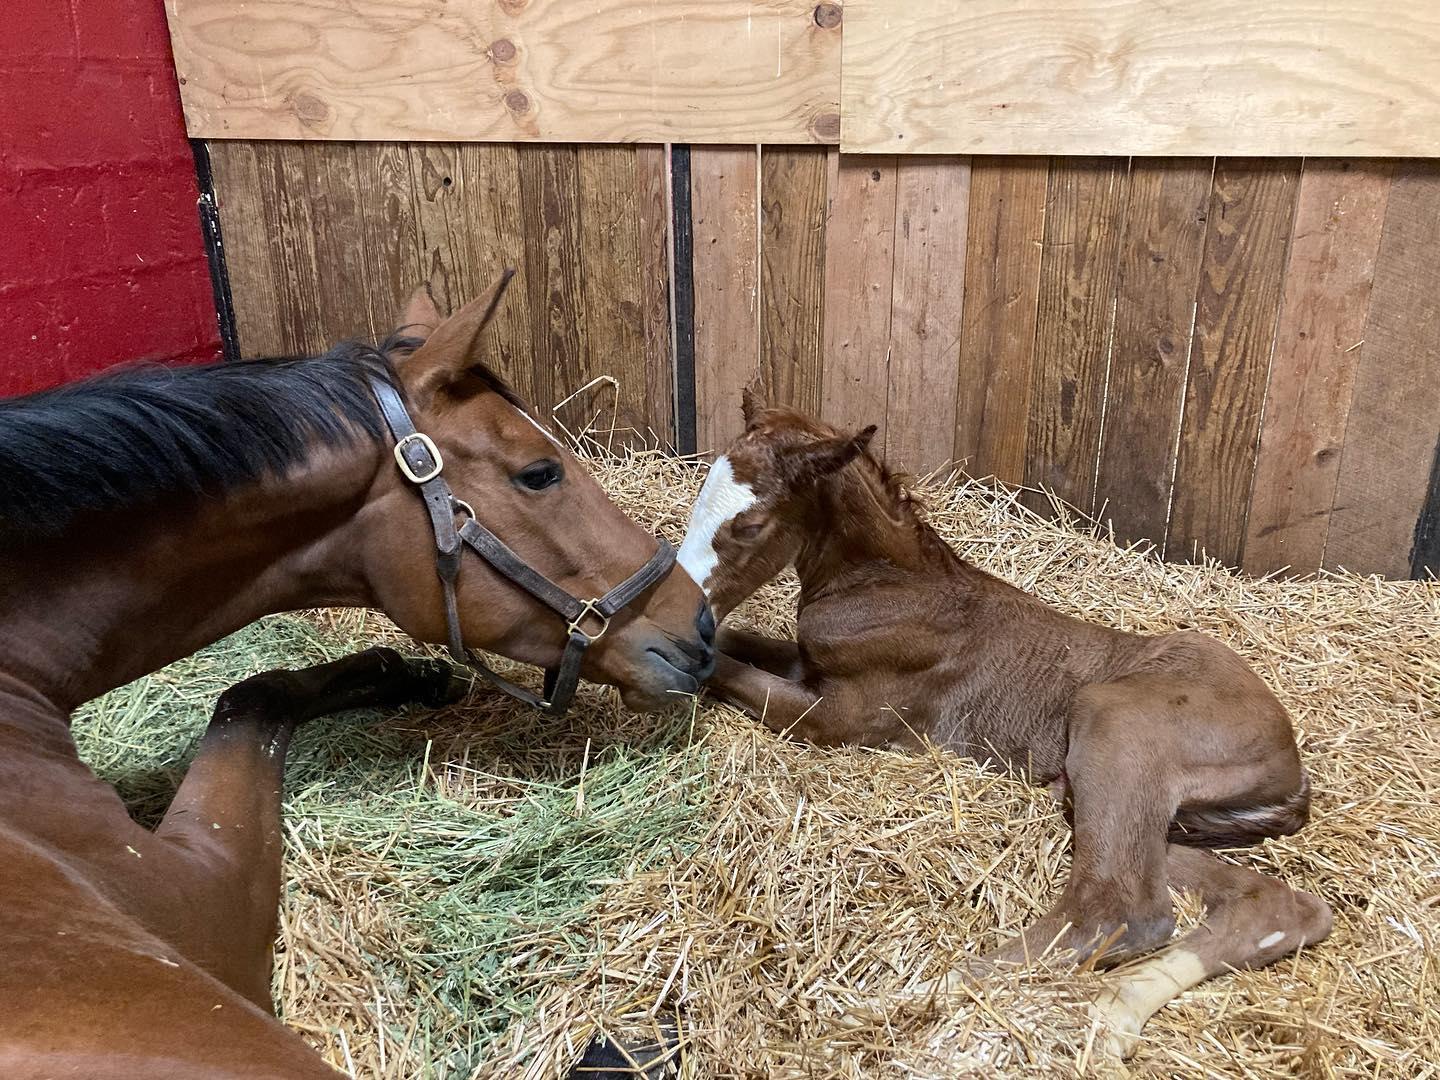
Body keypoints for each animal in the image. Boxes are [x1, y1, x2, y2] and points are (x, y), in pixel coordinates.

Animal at [0, 280, 717, 1080]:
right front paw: (404, 672)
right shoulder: (204, 891)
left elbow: (254, 689)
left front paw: (406, 673)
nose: (702, 623)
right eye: (539, 472)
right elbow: (249, 696)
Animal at [679, 394, 1330, 1059]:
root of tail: (1291, 764)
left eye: (750, 525)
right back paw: (1119, 1013)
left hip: (1116, 726)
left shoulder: (843, 715)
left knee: (1117, 910)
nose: (687, 608)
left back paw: (896, 1000)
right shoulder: (804, 666)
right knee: (1273, 903)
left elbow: (724, 668)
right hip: (1132, 808)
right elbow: (734, 646)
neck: (893, 586)